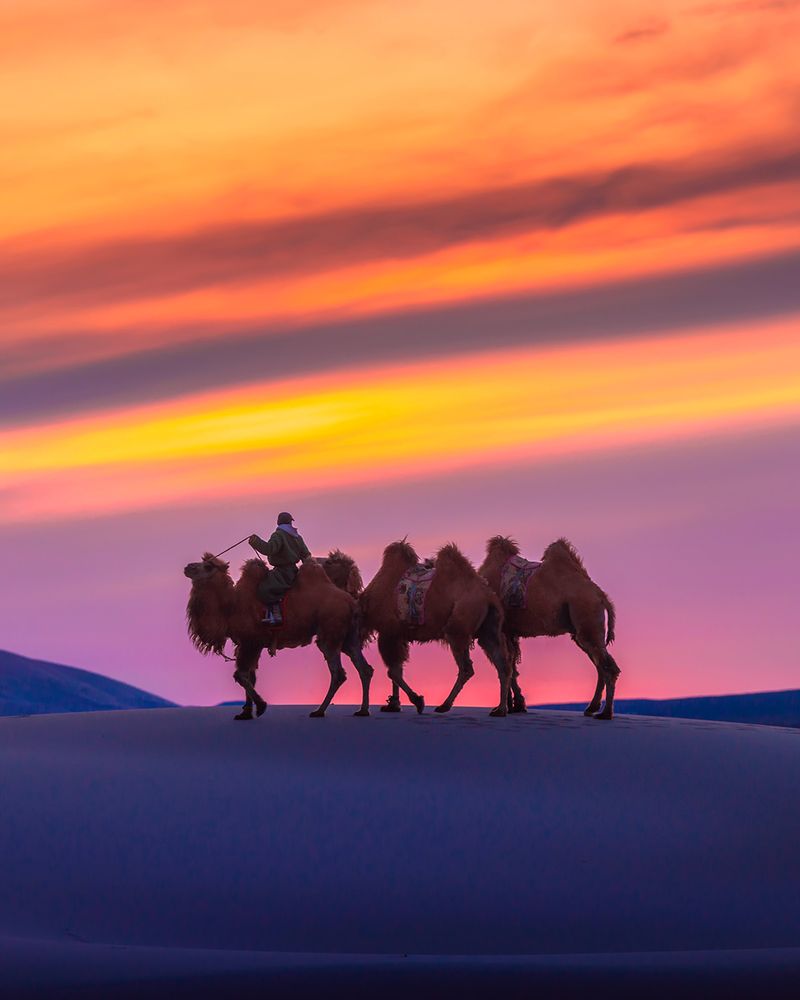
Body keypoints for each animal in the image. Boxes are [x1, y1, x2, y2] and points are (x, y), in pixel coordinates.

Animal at [185, 556, 376, 720]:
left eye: (208, 566)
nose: (188, 567)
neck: (232, 606)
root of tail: (352, 601)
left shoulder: (250, 642)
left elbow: (241, 675)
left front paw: (261, 706)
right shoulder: (250, 645)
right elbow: (250, 676)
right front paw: (245, 713)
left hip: (330, 633)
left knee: (338, 673)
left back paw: (319, 711)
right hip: (349, 637)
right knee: (364, 668)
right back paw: (362, 710)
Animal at [360, 544, 510, 716]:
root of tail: (489, 597)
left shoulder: (388, 632)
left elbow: (393, 672)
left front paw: (418, 701)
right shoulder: (398, 635)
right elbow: (397, 669)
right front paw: (393, 705)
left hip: (457, 630)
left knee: (466, 668)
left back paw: (444, 705)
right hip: (488, 630)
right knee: (503, 665)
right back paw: (500, 709)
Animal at [478, 540, 620, 720]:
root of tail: (601, 595)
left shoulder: (500, 629)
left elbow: (506, 665)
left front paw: (503, 708)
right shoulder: (509, 631)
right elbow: (512, 665)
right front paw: (516, 706)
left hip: (587, 618)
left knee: (607, 667)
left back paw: (605, 713)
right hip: (583, 631)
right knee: (600, 665)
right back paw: (592, 708)